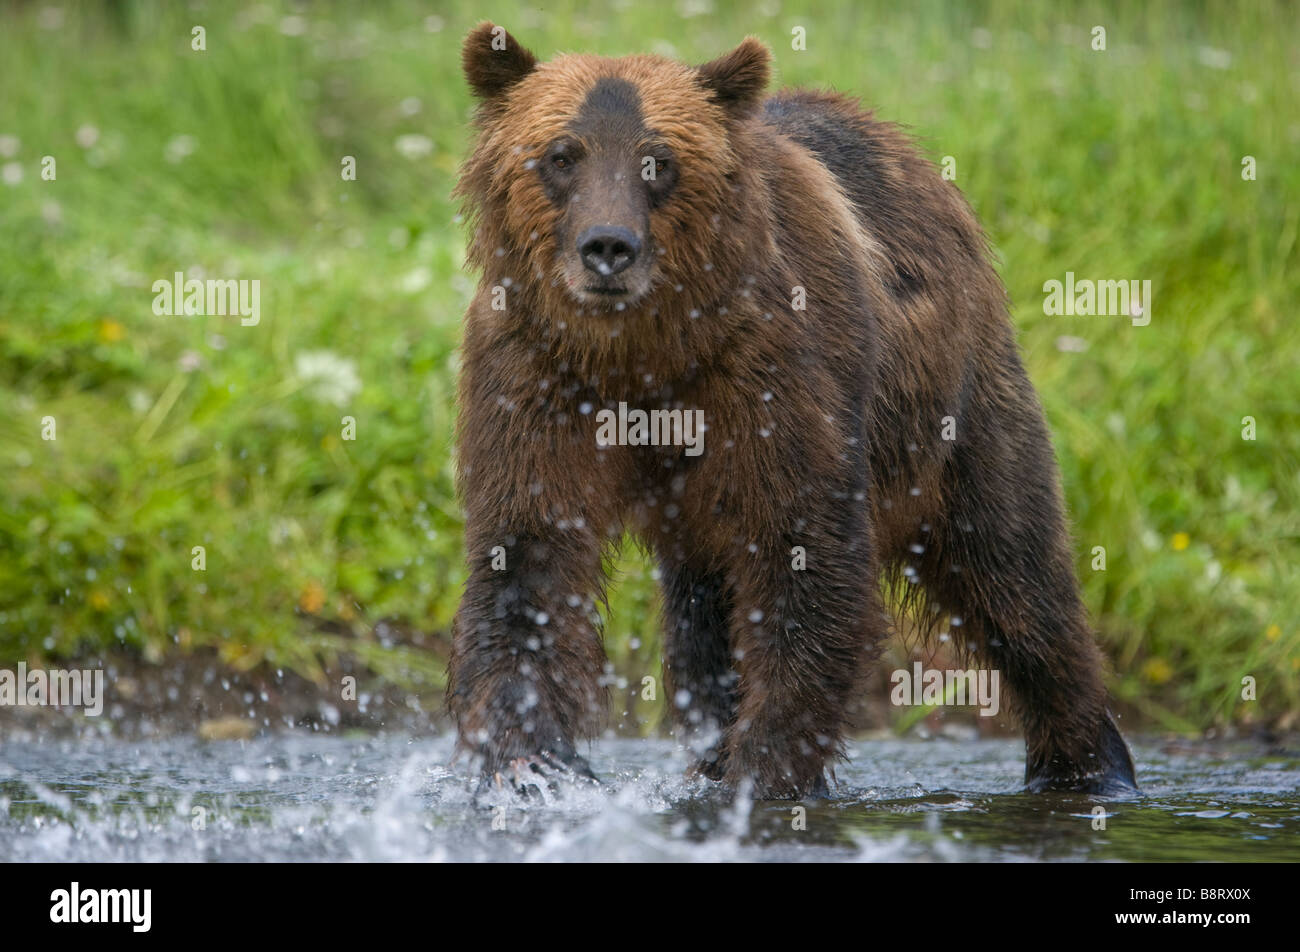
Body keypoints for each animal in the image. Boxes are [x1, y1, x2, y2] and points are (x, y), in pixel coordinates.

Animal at [447, 22, 1139, 800]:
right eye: (562, 155)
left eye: (658, 161)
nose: (607, 248)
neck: (644, 354)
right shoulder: (534, 374)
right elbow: (527, 558)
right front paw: (529, 762)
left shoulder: (773, 375)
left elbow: (804, 561)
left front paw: (763, 773)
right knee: (703, 621)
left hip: (958, 410)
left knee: (1016, 575)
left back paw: (1086, 763)